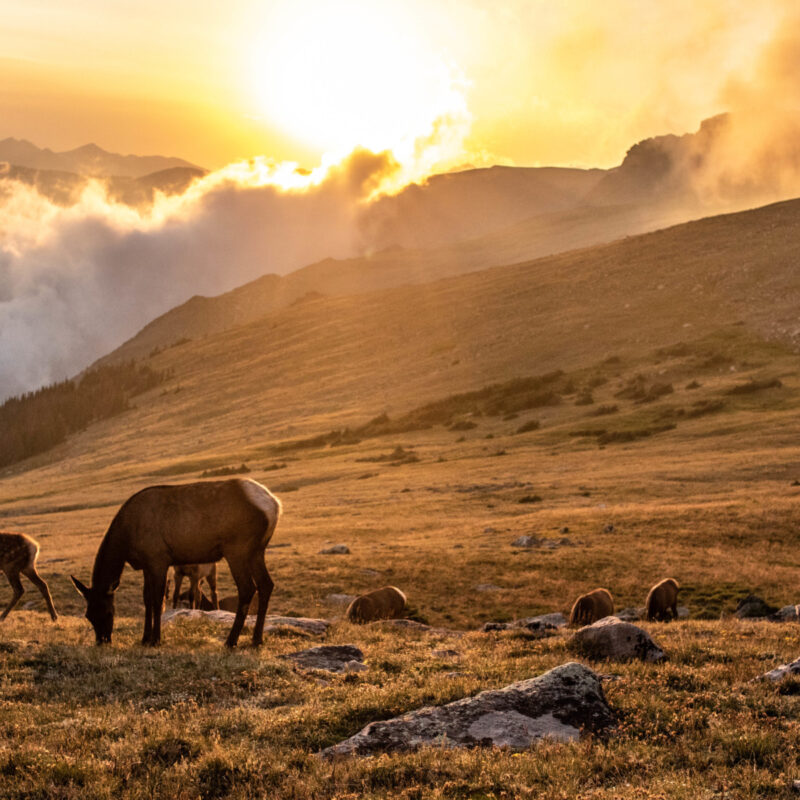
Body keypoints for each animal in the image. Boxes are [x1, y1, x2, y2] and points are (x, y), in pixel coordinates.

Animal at [71, 478, 281, 647]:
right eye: (88, 615)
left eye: (109, 612)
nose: (103, 641)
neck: (126, 540)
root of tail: (274, 506)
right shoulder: (147, 564)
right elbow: (147, 599)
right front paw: (144, 638)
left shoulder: (158, 559)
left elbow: (158, 600)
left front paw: (156, 640)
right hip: (256, 550)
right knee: (266, 584)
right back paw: (256, 639)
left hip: (237, 548)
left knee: (247, 588)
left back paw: (231, 640)